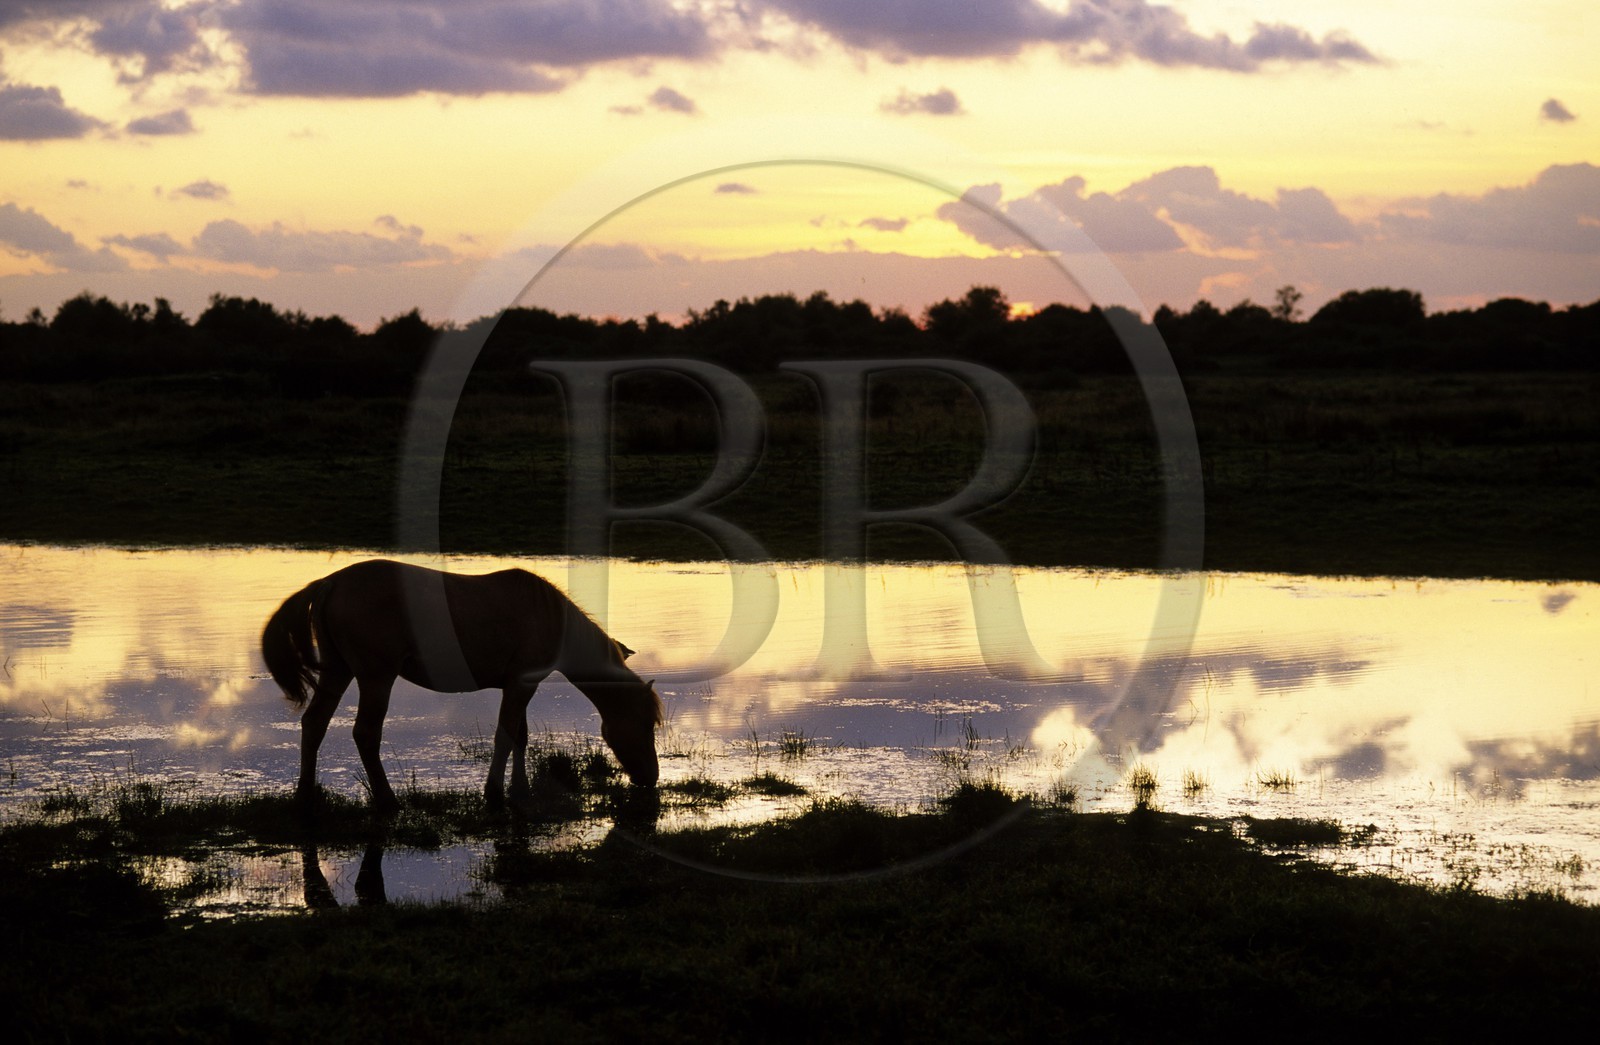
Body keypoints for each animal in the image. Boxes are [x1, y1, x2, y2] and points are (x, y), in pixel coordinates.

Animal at [260, 559, 661, 814]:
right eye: (646, 723)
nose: (651, 778)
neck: (547, 616)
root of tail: (330, 583)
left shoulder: (517, 685)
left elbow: (519, 735)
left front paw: (519, 789)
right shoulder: (521, 684)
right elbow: (505, 736)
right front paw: (494, 793)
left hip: (337, 671)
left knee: (314, 724)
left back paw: (305, 797)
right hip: (376, 677)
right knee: (365, 734)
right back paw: (388, 802)